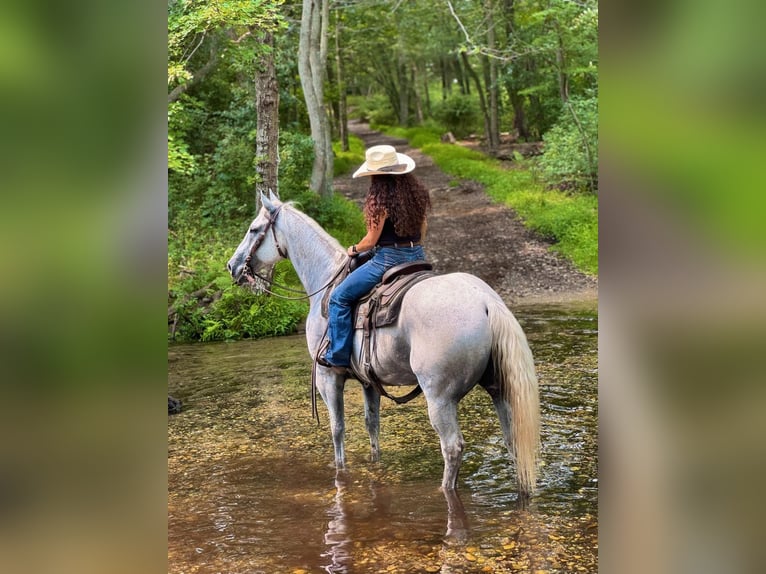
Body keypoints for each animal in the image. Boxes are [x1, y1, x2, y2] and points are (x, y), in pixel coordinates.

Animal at [227, 192, 540, 496]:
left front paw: (340, 470)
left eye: (253, 229)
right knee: (514, 441)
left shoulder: (328, 377)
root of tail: (485, 301)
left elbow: (337, 428)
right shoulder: (369, 382)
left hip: (440, 397)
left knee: (452, 447)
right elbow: (372, 425)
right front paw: (374, 464)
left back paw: (444, 489)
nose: (232, 266)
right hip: (498, 388)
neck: (325, 281)